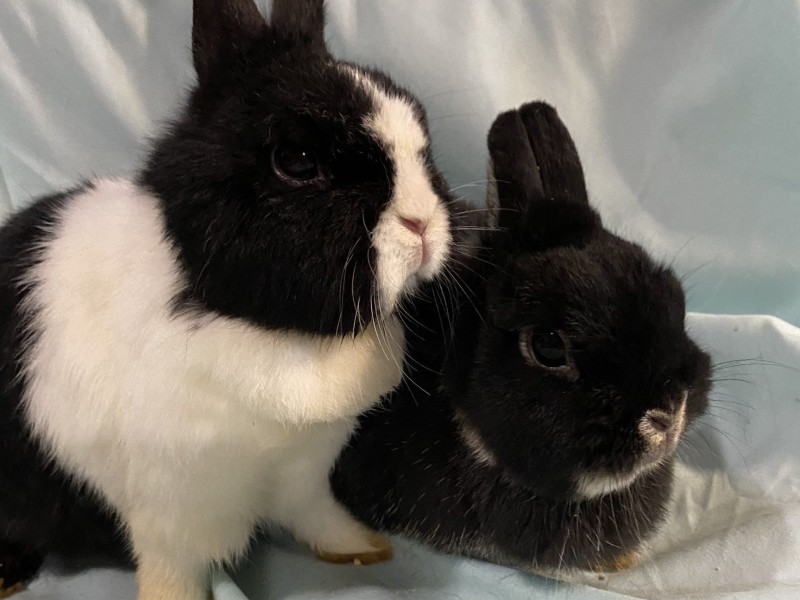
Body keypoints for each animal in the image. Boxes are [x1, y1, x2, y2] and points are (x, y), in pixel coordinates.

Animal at [0, 0, 454, 598]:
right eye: (297, 159)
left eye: (422, 139)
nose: (421, 223)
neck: (262, 325)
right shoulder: (171, 512)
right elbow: (173, 571)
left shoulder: (304, 474)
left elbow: (318, 516)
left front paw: (361, 548)